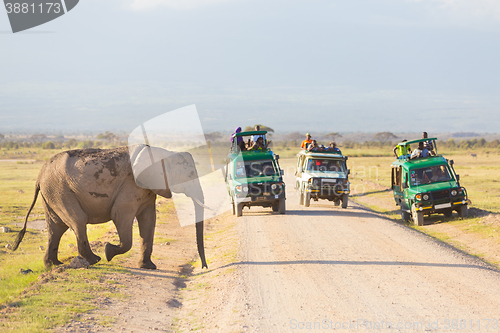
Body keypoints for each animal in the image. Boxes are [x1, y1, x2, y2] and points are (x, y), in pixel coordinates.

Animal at [12, 144, 207, 268]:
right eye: (190, 174)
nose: (204, 267)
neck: (162, 151)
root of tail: (39, 176)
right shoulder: (130, 186)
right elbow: (120, 215)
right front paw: (108, 251)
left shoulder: (146, 190)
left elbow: (149, 221)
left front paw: (148, 267)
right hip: (60, 191)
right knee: (77, 221)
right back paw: (95, 260)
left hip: (52, 193)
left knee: (56, 228)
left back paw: (53, 265)